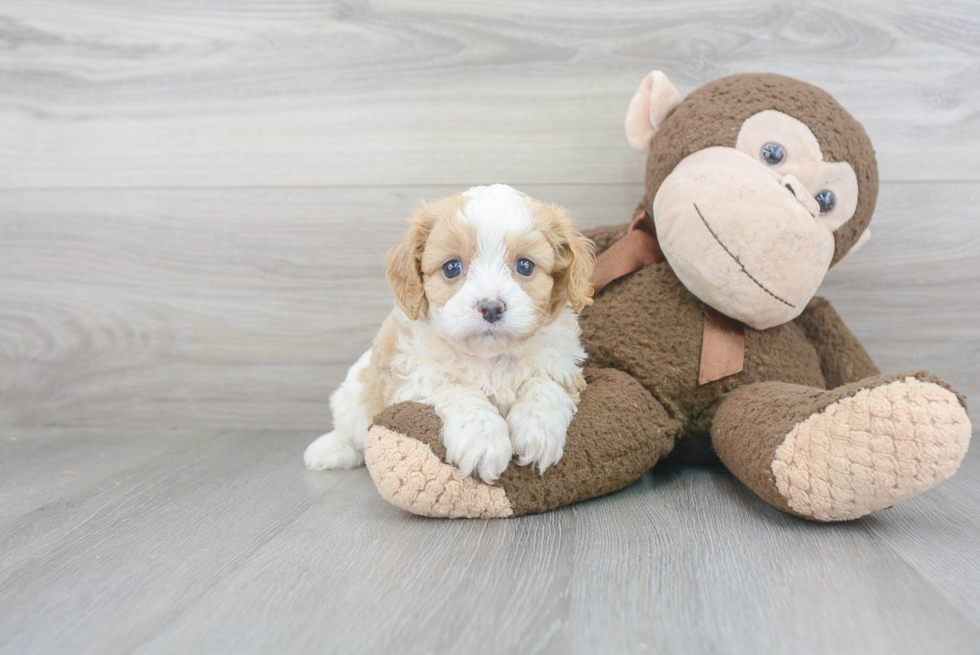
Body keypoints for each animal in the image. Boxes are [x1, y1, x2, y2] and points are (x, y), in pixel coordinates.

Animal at [306, 184, 592, 482]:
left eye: (525, 266)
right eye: (452, 267)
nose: (491, 308)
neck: (490, 359)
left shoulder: (561, 364)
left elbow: (545, 384)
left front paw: (538, 430)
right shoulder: (414, 377)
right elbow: (456, 389)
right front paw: (482, 438)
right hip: (352, 393)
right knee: (349, 430)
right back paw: (329, 449)